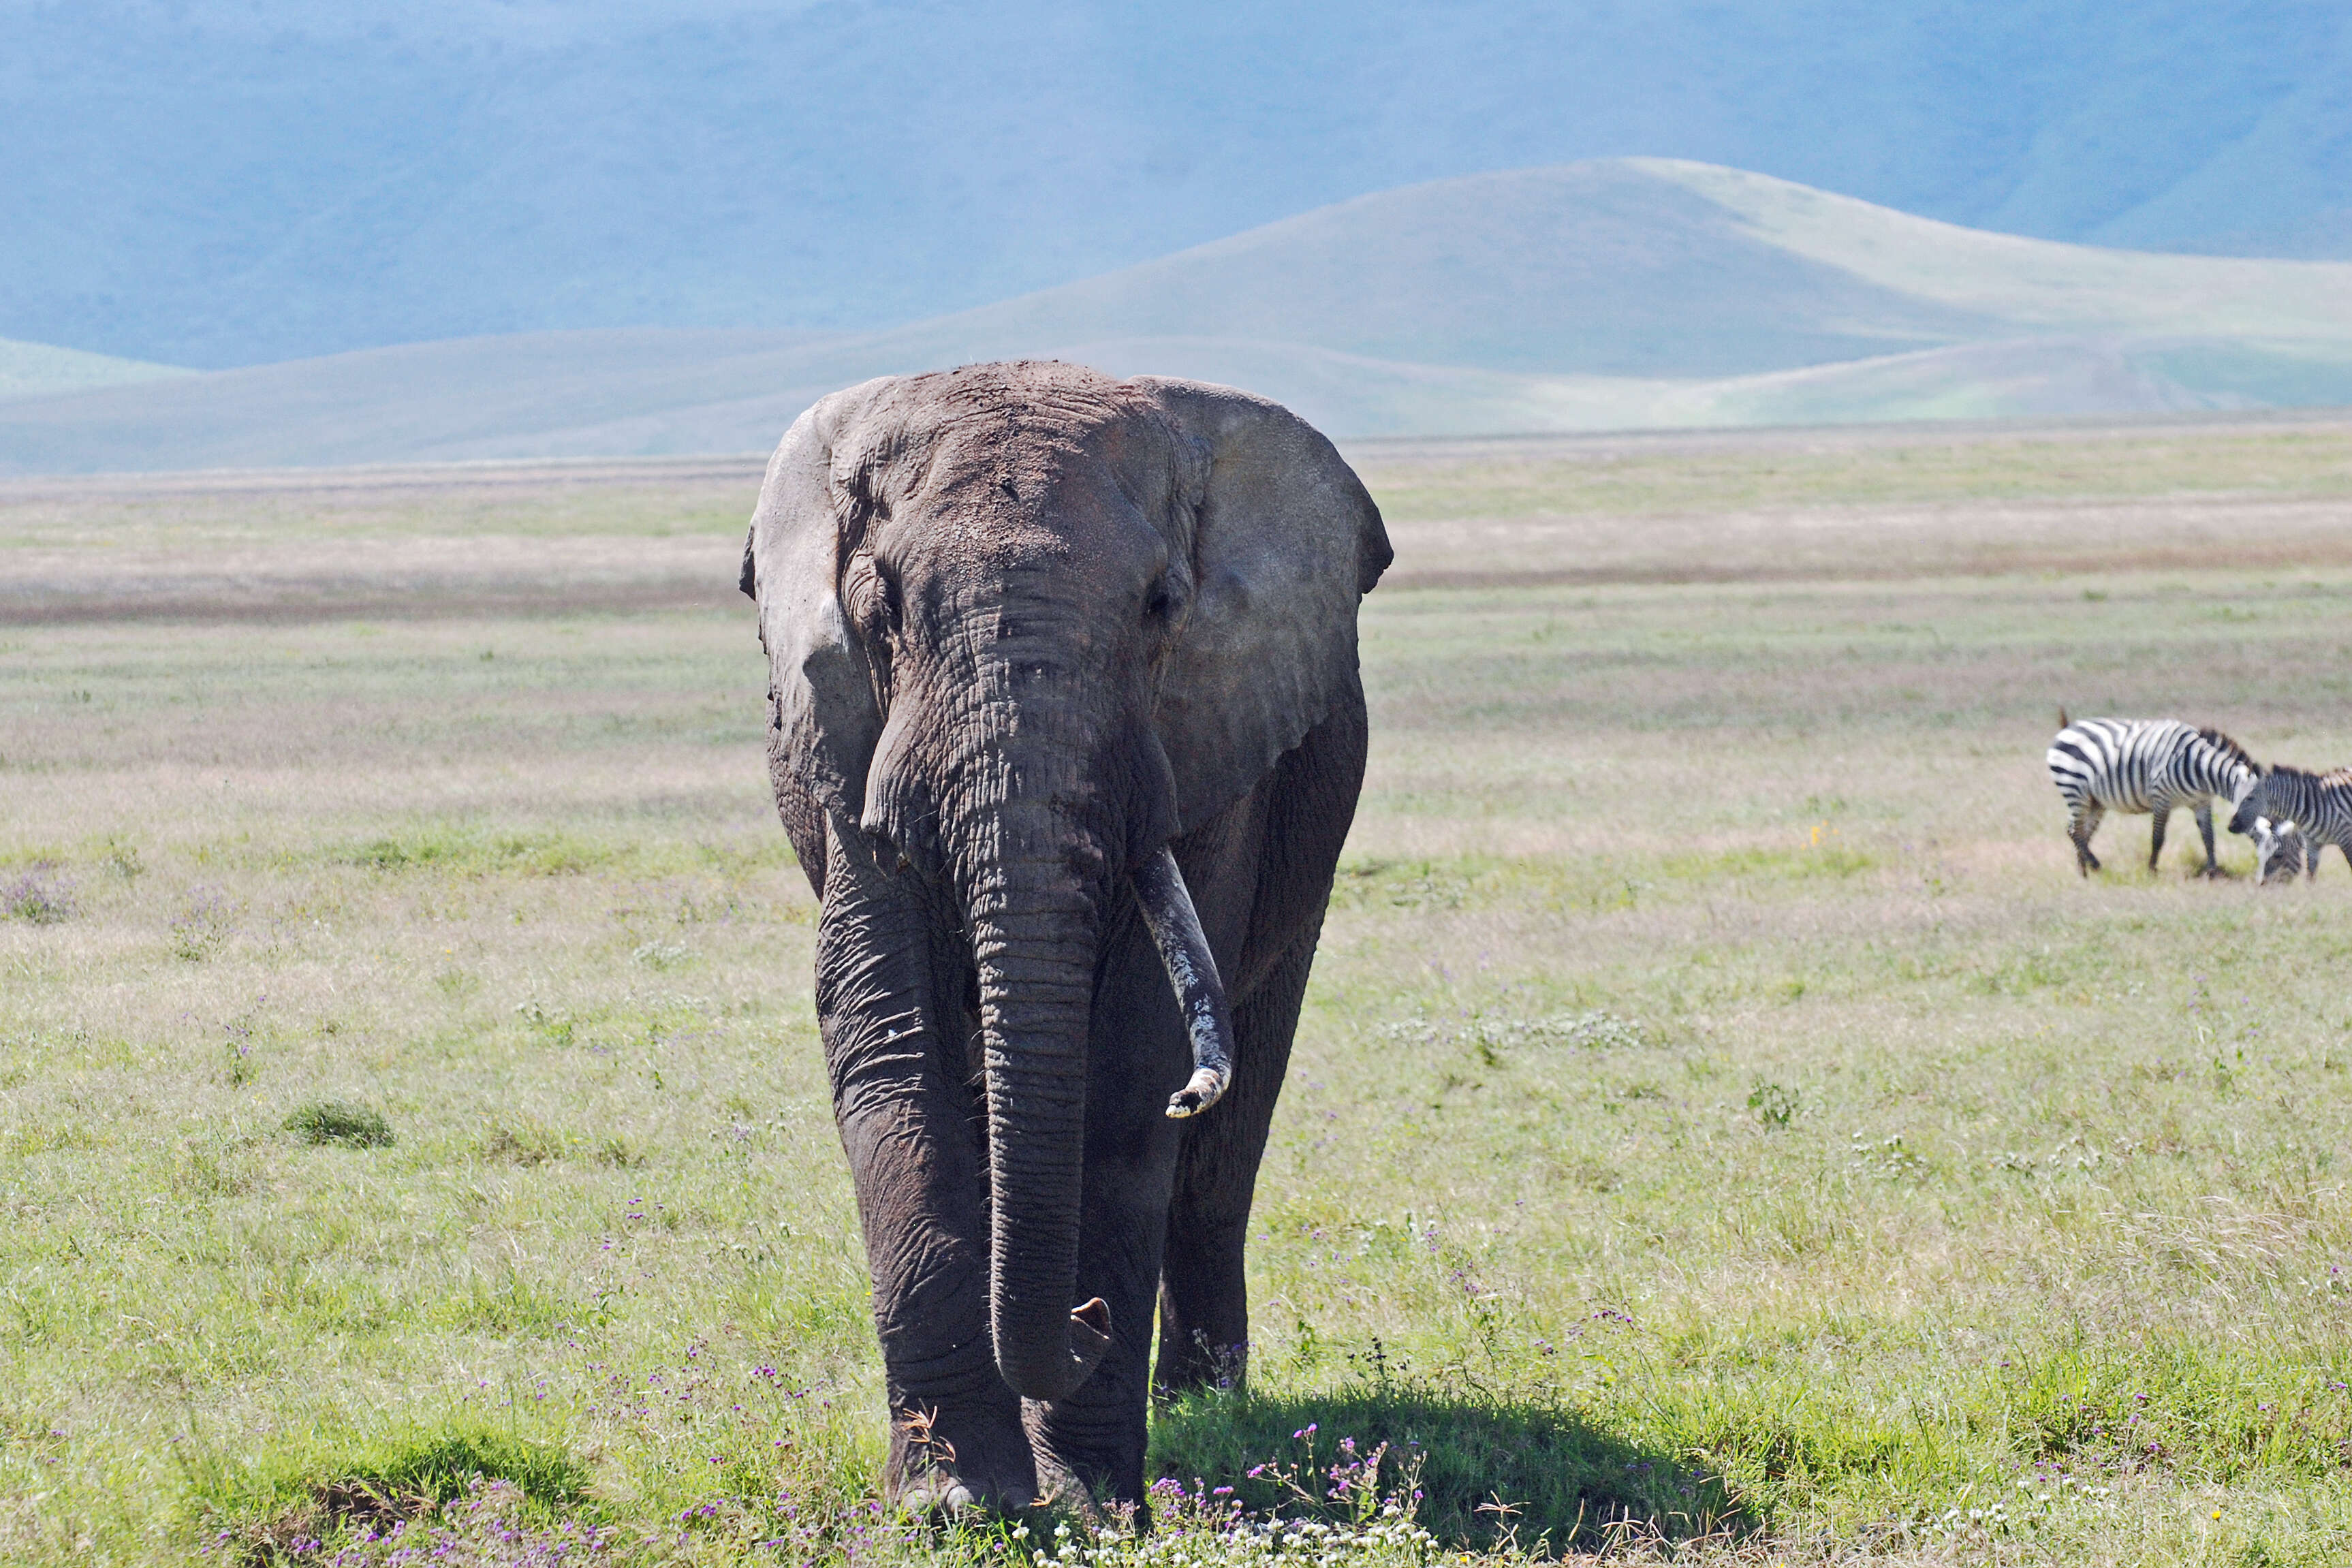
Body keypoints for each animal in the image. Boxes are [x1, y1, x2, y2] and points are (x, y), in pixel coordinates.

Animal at [743, 362, 1383, 1514]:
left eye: (1163, 606)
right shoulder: (852, 741)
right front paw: (958, 1503)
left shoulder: (1209, 748)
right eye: (879, 608)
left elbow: (1130, 1067)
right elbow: (891, 1042)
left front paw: (1091, 1501)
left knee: (1229, 1137)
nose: (1084, 1326)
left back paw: (1206, 1401)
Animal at [2041, 715, 2257, 879]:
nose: (2232, 828)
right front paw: (2152, 870)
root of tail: (2069, 727)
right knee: (2073, 831)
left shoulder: (2202, 803)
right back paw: (2094, 865)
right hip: (2073, 788)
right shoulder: (2161, 798)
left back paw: (2083, 870)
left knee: (2082, 832)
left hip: (2094, 801)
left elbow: (2209, 837)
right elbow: (2158, 838)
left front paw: (2213, 870)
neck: (2199, 767)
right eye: (2251, 800)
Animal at [2220, 771, 2352, 883]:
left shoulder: (2347, 841)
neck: (2310, 809)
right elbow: (2310, 878)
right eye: (2260, 856)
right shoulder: (2312, 846)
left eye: (2250, 798)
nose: (2231, 826)